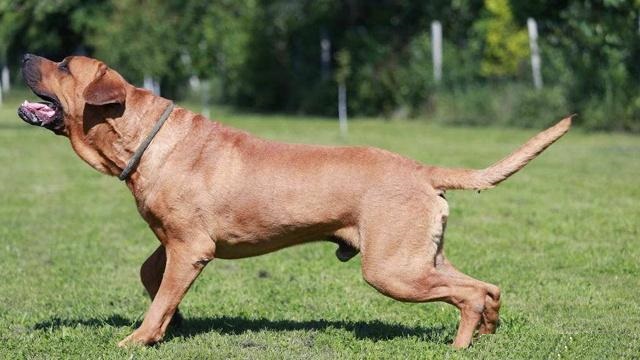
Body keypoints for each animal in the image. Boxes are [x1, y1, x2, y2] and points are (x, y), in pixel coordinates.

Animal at [17, 54, 572, 348]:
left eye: (64, 65)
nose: (24, 56)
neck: (144, 137)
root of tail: (421, 169)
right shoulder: (174, 242)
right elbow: (153, 279)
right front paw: (175, 321)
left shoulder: (190, 246)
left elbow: (159, 297)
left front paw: (141, 339)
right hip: (418, 255)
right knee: (487, 286)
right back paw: (487, 332)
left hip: (392, 270)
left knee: (469, 294)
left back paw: (461, 343)